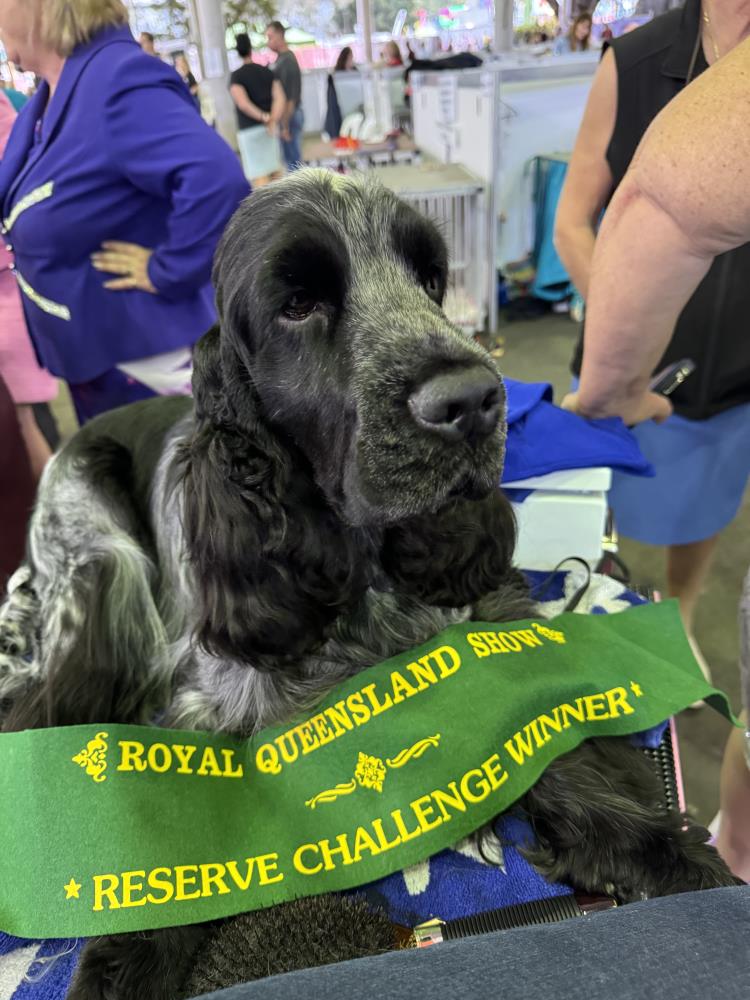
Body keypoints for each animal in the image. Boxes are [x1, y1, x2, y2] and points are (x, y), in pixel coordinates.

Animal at [0, 170, 736, 999]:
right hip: (101, 562)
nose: (473, 402)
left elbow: (548, 730)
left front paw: (664, 859)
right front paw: (125, 965)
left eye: (431, 280)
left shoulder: (483, 619)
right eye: (296, 304)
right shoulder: (206, 697)